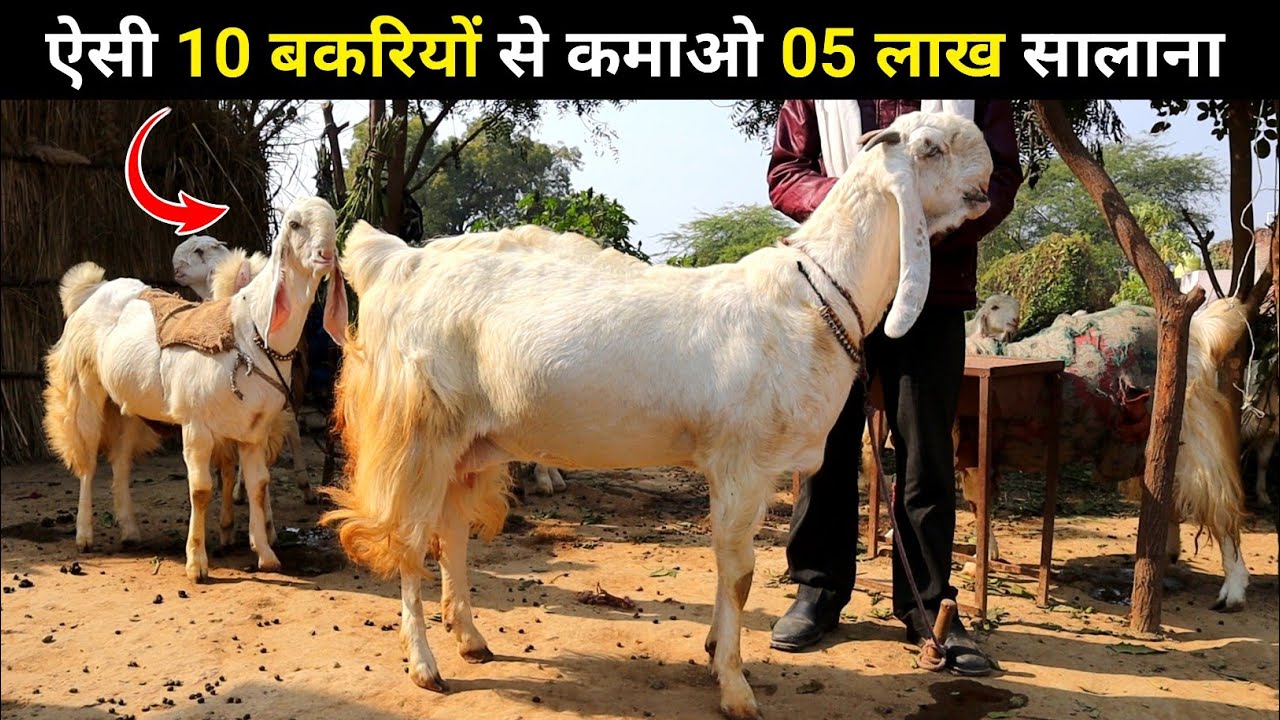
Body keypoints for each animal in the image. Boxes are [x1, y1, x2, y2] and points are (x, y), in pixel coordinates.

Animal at [42, 196, 346, 581]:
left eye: (334, 222)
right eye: (294, 224)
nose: (326, 255)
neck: (248, 331)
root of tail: (95, 289)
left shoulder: (255, 430)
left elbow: (259, 485)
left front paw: (266, 554)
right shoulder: (196, 426)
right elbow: (201, 491)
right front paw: (197, 564)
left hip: (126, 403)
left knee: (121, 462)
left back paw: (129, 530)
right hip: (86, 391)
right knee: (87, 461)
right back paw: (84, 535)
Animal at [318, 110, 995, 720]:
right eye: (932, 147)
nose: (991, 175)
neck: (811, 296)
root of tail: (396, 261)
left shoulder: (754, 469)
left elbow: (733, 571)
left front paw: (720, 651)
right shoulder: (740, 460)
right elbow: (740, 572)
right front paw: (735, 688)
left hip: (470, 440)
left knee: (451, 532)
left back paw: (471, 638)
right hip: (418, 428)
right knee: (409, 540)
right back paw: (425, 666)